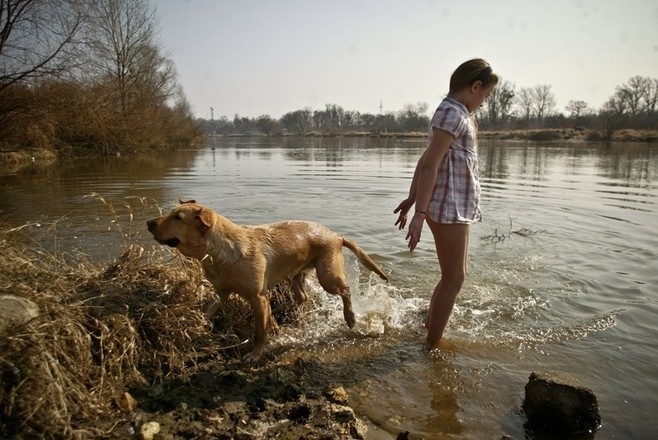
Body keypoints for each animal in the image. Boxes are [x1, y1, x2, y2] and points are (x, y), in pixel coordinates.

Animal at [146, 199, 386, 360]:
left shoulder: (258, 297)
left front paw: (256, 353)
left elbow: (260, 331)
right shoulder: (221, 292)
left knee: (345, 291)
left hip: (328, 276)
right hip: (297, 274)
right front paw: (197, 323)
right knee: (302, 296)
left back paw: (350, 317)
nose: (149, 222)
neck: (221, 251)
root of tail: (336, 235)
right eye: (171, 213)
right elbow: (208, 310)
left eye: (177, 218)